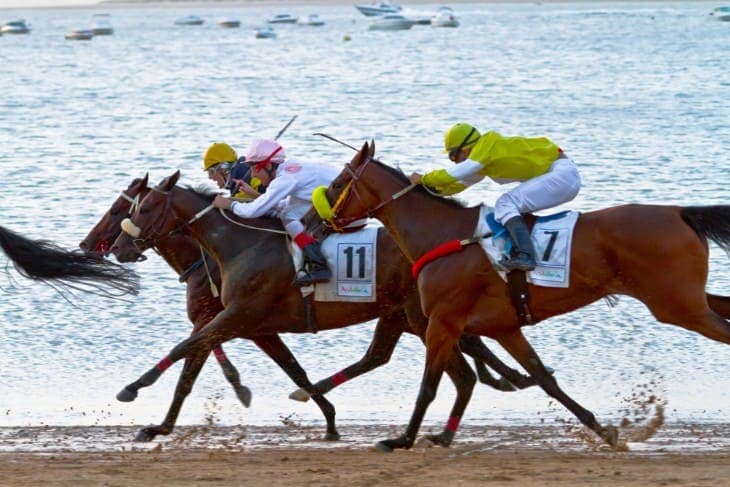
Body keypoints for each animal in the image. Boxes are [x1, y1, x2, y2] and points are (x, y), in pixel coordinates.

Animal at [103, 173, 538, 445]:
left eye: (140, 209)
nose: (120, 247)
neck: (238, 245)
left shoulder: (237, 316)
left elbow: (184, 350)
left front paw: (133, 389)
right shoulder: (249, 325)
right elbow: (215, 369)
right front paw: (158, 427)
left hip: (419, 316)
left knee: (454, 358)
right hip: (407, 315)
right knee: (402, 357)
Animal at [311, 140, 730, 452]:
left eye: (338, 183)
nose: (312, 223)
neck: (442, 235)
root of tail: (678, 212)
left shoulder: (442, 324)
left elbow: (428, 387)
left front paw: (401, 439)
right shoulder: (504, 327)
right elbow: (544, 378)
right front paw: (603, 430)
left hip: (677, 305)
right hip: (687, 299)